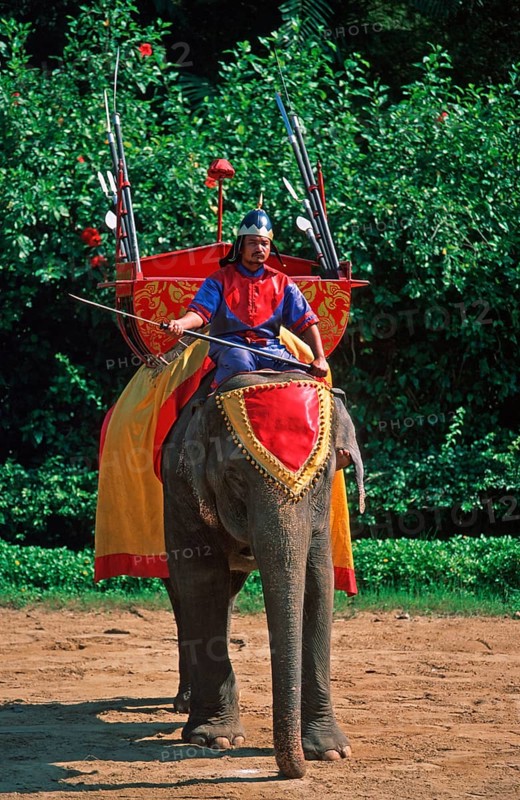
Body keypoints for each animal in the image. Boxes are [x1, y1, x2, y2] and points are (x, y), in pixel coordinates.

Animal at [160, 369, 364, 779]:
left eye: (321, 476)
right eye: (236, 478)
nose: (291, 772)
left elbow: (317, 580)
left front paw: (330, 751)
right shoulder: (181, 492)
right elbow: (201, 582)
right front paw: (217, 740)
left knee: (227, 595)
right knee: (183, 598)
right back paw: (187, 707)